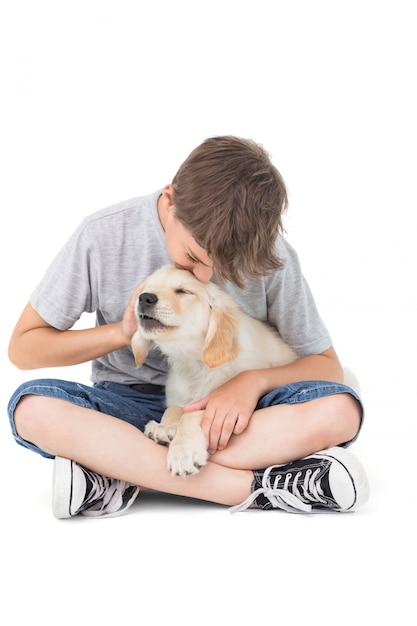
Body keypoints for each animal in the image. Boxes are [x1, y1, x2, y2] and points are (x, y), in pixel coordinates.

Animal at [130, 262, 296, 472]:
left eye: (183, 291)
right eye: (146, 289)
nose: (144, 298)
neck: (195, 363)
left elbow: (195, 413)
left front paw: (182, 451)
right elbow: (174, 408)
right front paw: (165, 427)